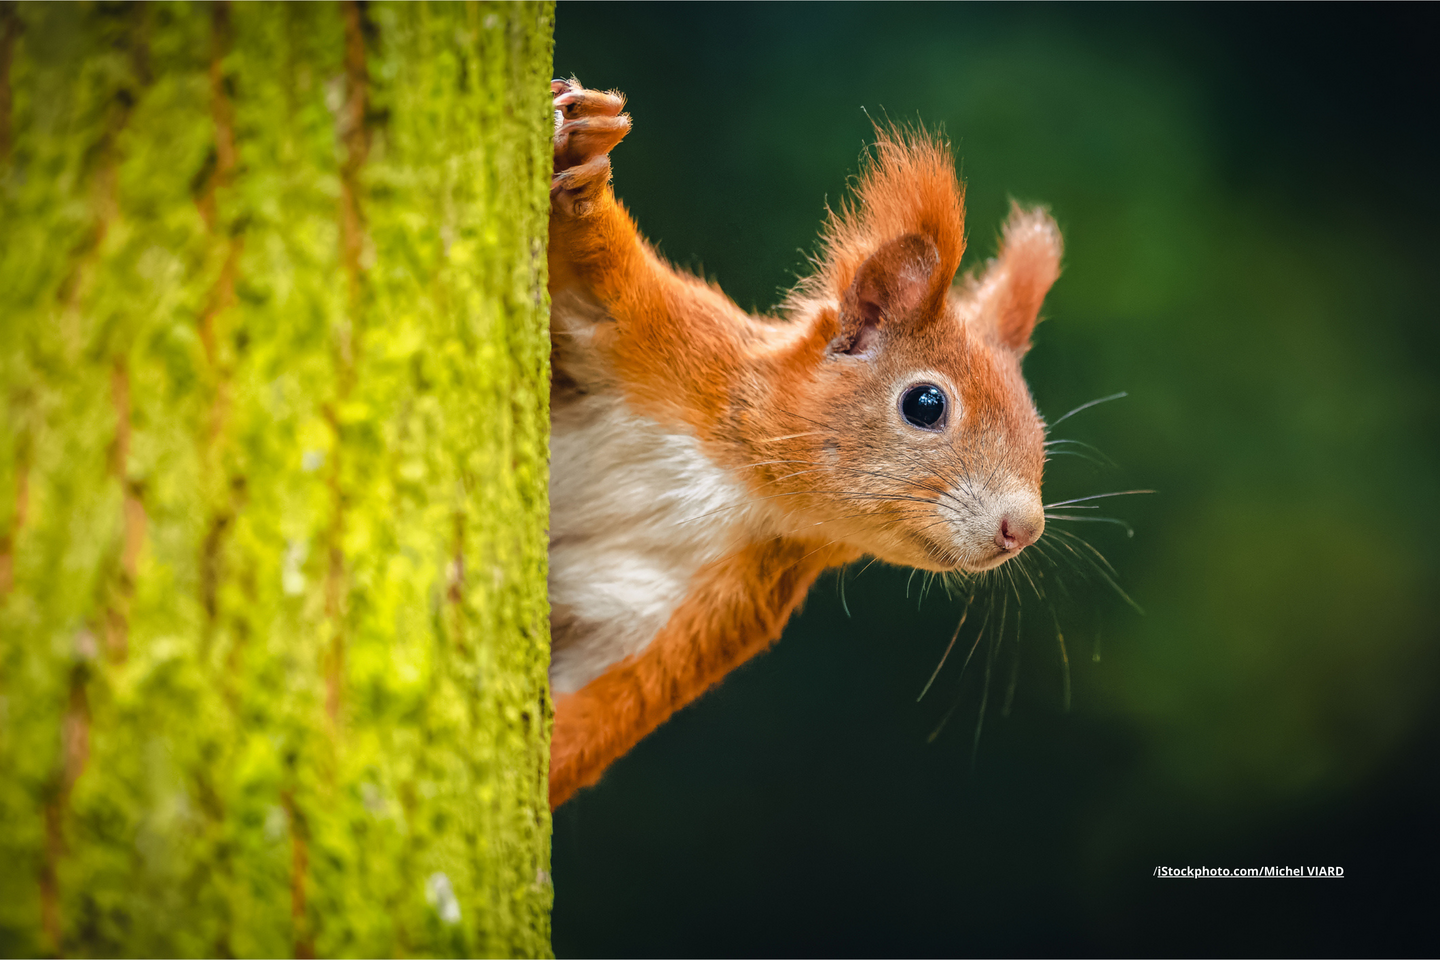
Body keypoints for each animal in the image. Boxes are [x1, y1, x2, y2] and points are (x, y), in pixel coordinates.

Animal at [546, 78, 1062, 809]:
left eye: (1040, 433)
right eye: (925, 405)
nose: (1024, 527)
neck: (741, 483)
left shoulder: (710, 606)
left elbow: (601, 706)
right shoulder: (665, 341)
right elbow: (598, 270)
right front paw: (587, 159)